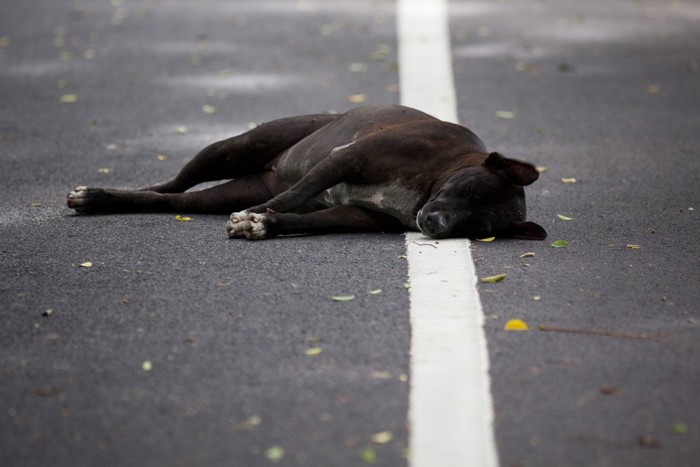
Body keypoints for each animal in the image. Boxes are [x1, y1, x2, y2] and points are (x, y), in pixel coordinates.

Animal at [67, 105, 548, 241]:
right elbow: (291, 197)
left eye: (477, 228)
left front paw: (263, 224)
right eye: (467, 189)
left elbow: (300, 215)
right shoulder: (346, 159)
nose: (435, 224)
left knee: (172, 200)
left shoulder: (360, 216)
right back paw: (97, 195)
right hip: (232, 149)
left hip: (222, 189)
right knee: (170, 184)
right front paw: (257, 215)